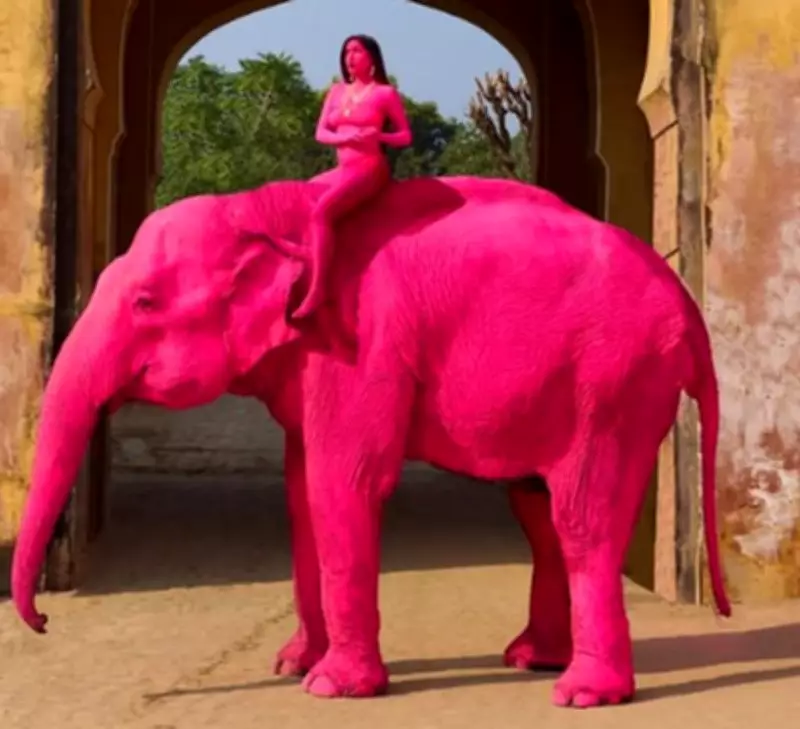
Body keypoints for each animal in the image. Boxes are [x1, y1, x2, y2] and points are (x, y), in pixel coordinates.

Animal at [10, 173, 731, 709]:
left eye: (145, 303)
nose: (43, 621)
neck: (270, 210)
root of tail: (689, 307)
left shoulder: (359, 343)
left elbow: (343, 481)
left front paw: (330, 686)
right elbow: (302, 491)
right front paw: (289, 665)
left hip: (616, 378)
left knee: (581, 515)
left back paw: (581, 694)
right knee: (537, 508)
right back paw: (531, 660)